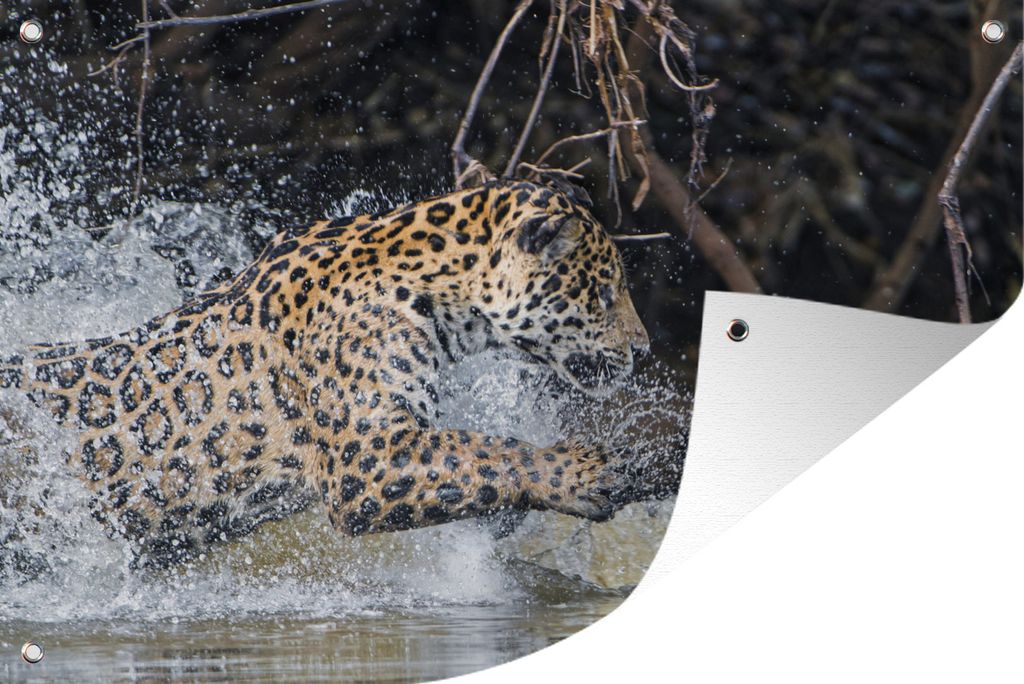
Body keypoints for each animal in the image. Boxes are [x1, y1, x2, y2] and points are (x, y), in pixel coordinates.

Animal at [0, 179, 650, 568]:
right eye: (605, 291)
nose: (644, 349)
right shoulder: (369, 460)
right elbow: (487, 452)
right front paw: (586, 472)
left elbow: (480, 456)